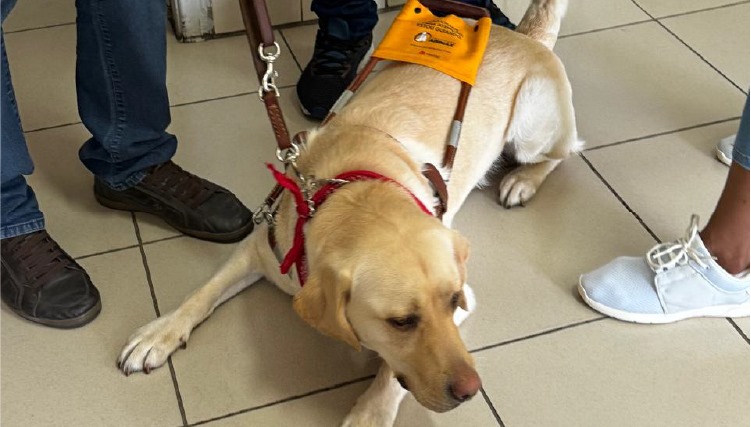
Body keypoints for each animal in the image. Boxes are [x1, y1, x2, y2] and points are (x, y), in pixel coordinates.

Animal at [116, 0, 580, 424]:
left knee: (567, 150)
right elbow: (203, 292)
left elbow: (390, 375)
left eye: (452, 302)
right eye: (401, 322)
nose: (471, 390)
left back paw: (522, 181)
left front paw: (371, 411)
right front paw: (160, 332)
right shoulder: (261, 244)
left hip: (531, 130)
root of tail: (521, 35)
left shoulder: (467, 299)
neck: (355, 190)